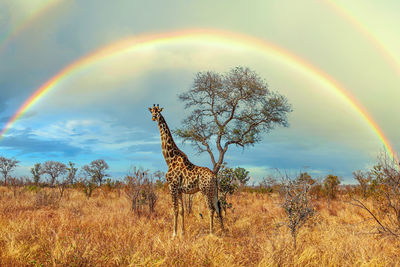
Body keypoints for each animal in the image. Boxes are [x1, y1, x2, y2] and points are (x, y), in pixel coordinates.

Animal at [149, 104, 225, 239]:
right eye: (151, 111)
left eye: (158, 112)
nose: (153, 117)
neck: (170, 159)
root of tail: (214, 177)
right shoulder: (179, 190)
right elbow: (182, 210)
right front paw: (182, 233)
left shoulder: (172, 187)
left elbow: (174, 210)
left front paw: (173, 234)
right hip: (214, 191)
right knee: (218, 208)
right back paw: (223, 231)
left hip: (205, 191)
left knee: (210, 209)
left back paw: (211, 233)